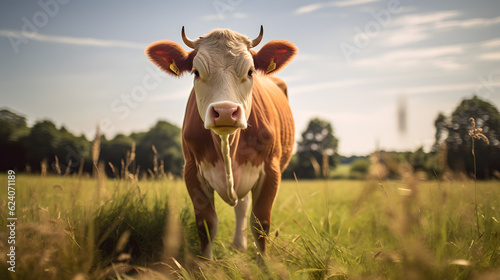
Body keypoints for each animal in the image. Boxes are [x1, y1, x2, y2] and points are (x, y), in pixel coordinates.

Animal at [146, 25, 298, 262]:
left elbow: (261, 222)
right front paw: (205, 264)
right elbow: (206, 223)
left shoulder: (271, 170)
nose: (225, 111)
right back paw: (238, 245)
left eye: (250, 71)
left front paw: (264, 263)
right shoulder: (192, 170)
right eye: (196, 72)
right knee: (242, 206)